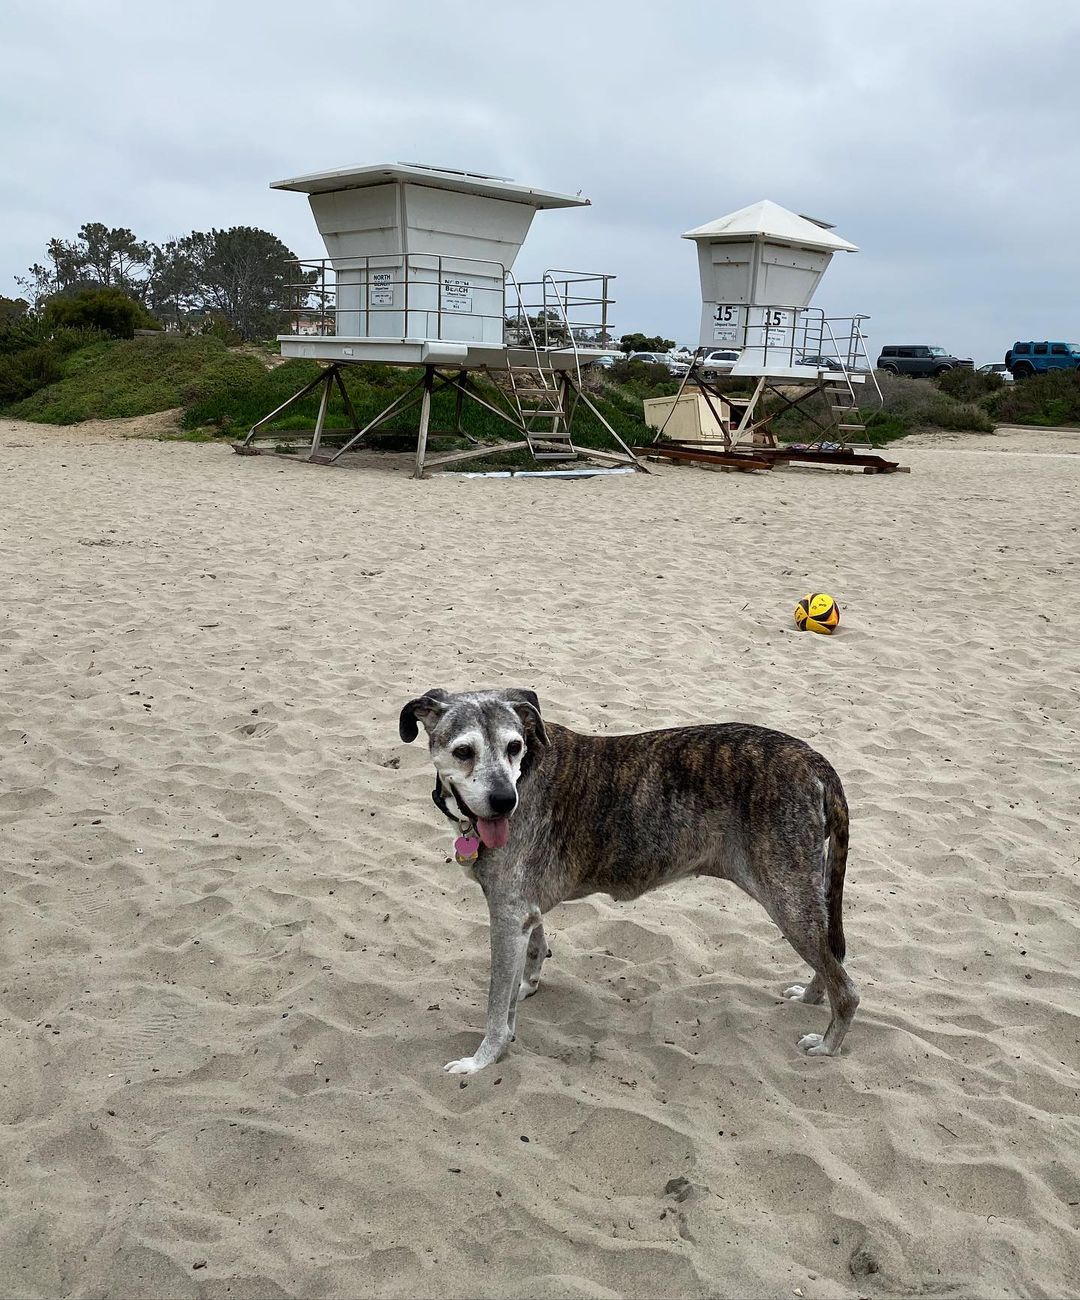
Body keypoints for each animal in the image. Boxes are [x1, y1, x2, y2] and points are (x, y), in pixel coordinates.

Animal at [400, 691, 862, 1076]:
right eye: (463, 752)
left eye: (515, 746)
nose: (504, 802)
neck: (524, 772)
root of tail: (813, 759)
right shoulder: (522, 910)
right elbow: (533, 951)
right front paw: (527, 986)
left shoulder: (507, 915)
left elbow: (497, 1006)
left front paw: (483, 1058)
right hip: (806, 890)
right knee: (830, 959)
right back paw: (813, 996)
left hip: (787, 896)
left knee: (846, 985)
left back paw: (828, 1043)